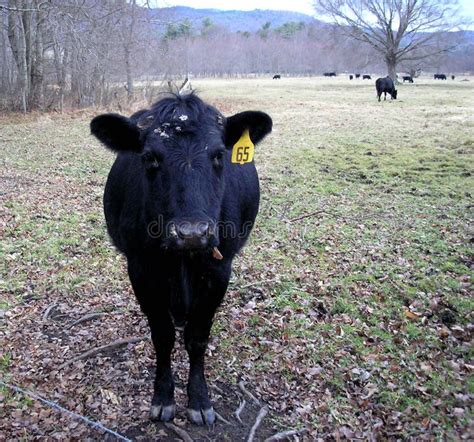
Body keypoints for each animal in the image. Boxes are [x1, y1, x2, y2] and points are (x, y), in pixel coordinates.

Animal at [90, 92, 272, 424]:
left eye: (218, 155)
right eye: (150, 158)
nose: (192, 232)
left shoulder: (219, 269)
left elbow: (197, 337)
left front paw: (199, 399)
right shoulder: (141, 269)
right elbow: (162, 336)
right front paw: (163, 397)